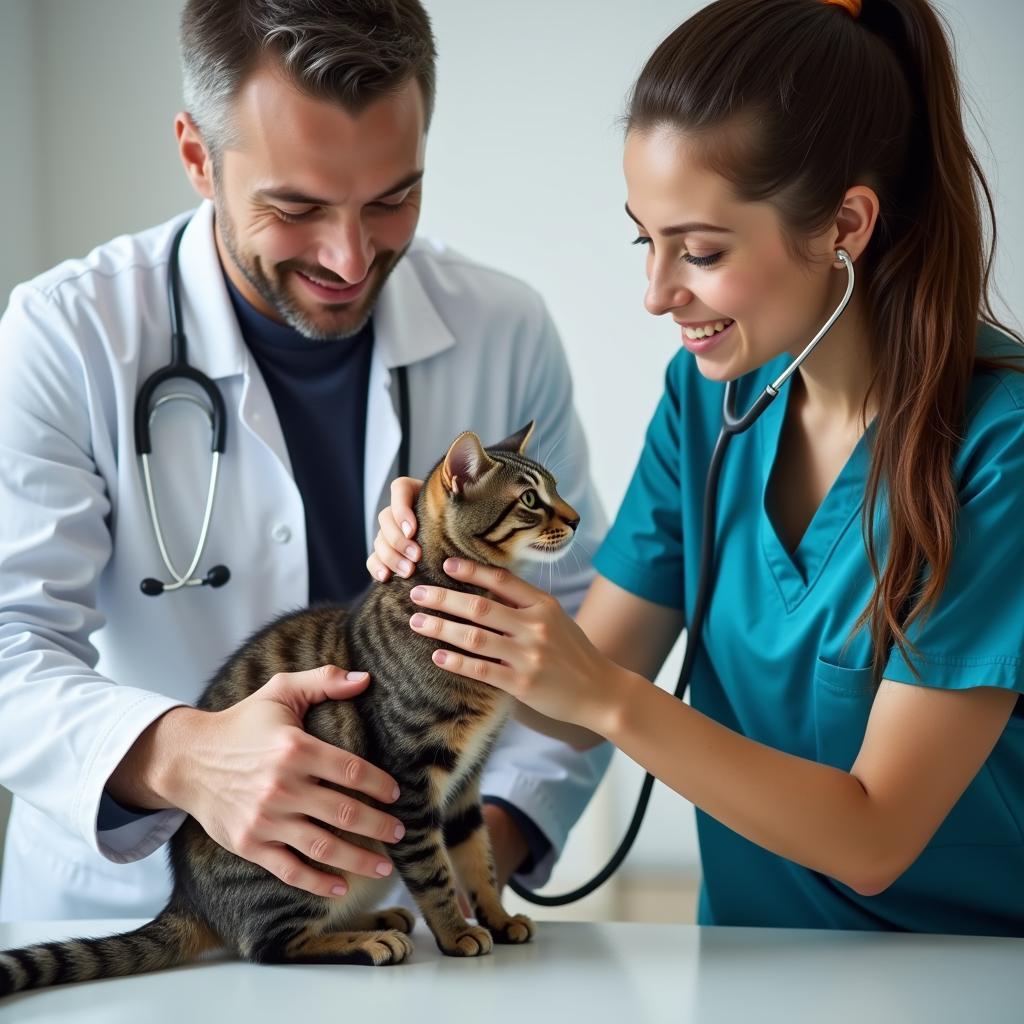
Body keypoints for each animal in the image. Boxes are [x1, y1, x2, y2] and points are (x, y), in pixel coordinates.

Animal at [0, 419, 581, 995]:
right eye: (531, 499)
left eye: (556, 488)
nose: (576, 520)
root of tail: (188, 899)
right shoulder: (410, 783)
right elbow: (434, 872)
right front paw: (456, 931)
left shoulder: (465, 783)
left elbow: (477, 860)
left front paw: (497, 918)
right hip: (295, 869)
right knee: (267, 946)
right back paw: (367, 941)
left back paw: (376, 918)